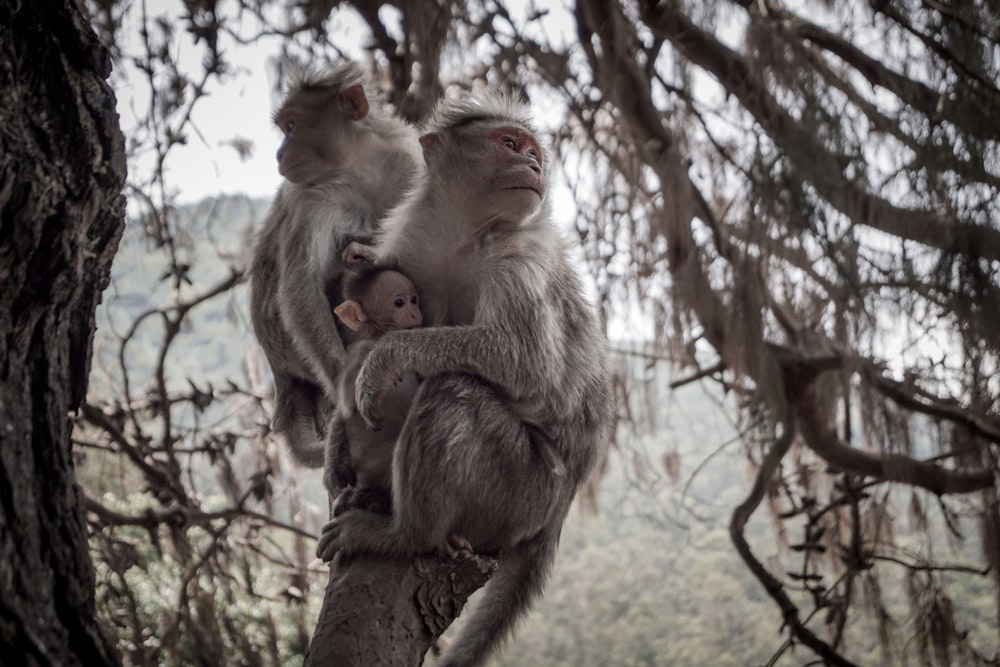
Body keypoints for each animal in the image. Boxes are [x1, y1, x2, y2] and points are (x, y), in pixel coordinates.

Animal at [248, 61, 424, 480]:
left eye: (292, 125)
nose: (280, 152)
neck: (357, 165)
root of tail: (279, 369)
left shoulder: (407, 159)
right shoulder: (310, 197)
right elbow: (301, 288)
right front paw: (348, 382)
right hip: (294, 352)